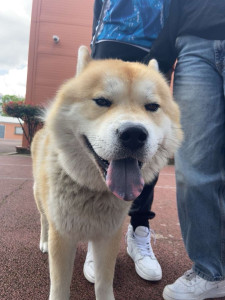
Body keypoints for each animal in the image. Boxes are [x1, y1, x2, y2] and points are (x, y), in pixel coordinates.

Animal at [31, 45, 183, 300]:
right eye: (101, 101)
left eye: (152, 107)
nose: (134, 134)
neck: (92, 191)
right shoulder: (62, 235)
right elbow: (60, 287)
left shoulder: (109, 236)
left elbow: (104, 283)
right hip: (41, 200)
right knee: (43, 219)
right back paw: (42, 241)